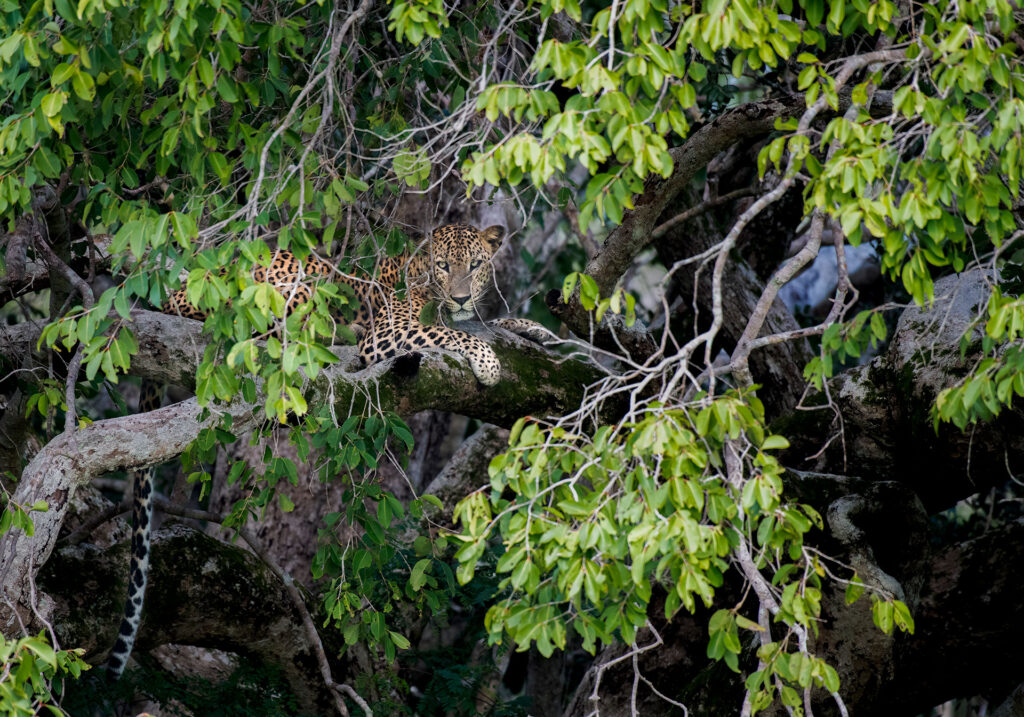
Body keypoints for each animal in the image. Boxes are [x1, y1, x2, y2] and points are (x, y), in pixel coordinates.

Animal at [105, 222, 552, 676]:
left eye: (475, 265)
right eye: (443, 266)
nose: (460, 297)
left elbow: (482, 322)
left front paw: (532, 327)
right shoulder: (390, 331)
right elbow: (452, 332)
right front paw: (489, 362)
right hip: (292, 288)